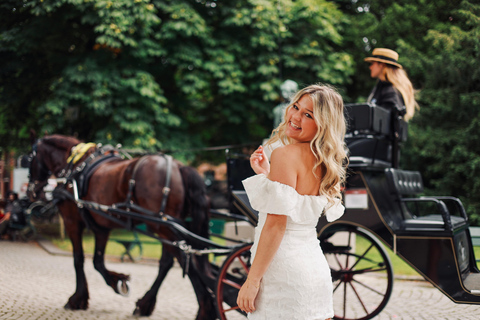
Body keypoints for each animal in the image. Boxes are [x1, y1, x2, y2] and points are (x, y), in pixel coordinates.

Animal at [25, 134, 214, 318]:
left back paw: (206, 308)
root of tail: (178, 166)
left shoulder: (72, 221)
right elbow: (97, 261)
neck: (75, 167)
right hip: (165, 227)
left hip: (160, 226)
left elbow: (78, 259)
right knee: (168, 262)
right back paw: (146, 304)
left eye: (29, 160)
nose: (31, 191)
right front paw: (118, 281)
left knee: (185, 260)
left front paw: (78, 298)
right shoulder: (101, 227)